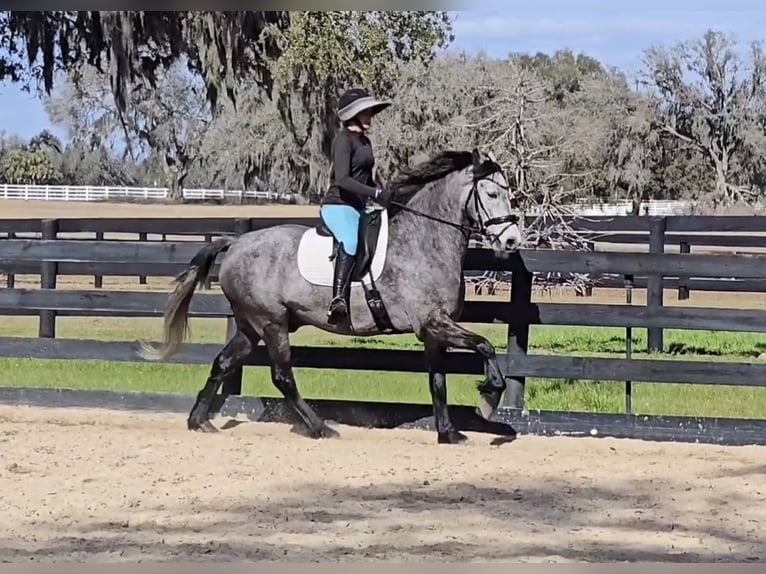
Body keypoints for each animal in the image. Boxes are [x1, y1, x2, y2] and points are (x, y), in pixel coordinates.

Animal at [137, 148, 522, 445]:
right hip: (271, 323)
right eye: (491, 194)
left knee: (223, 363)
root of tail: (236, 243)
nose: (511, 240)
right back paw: (320, 428)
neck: (422, 241)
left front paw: (447, 433)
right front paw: (489, 398)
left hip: (251, 326)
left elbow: (438, 381)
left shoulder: (432, 330)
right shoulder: (433, 323)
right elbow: (486, 346)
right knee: (282, 376)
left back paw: (199, 421)